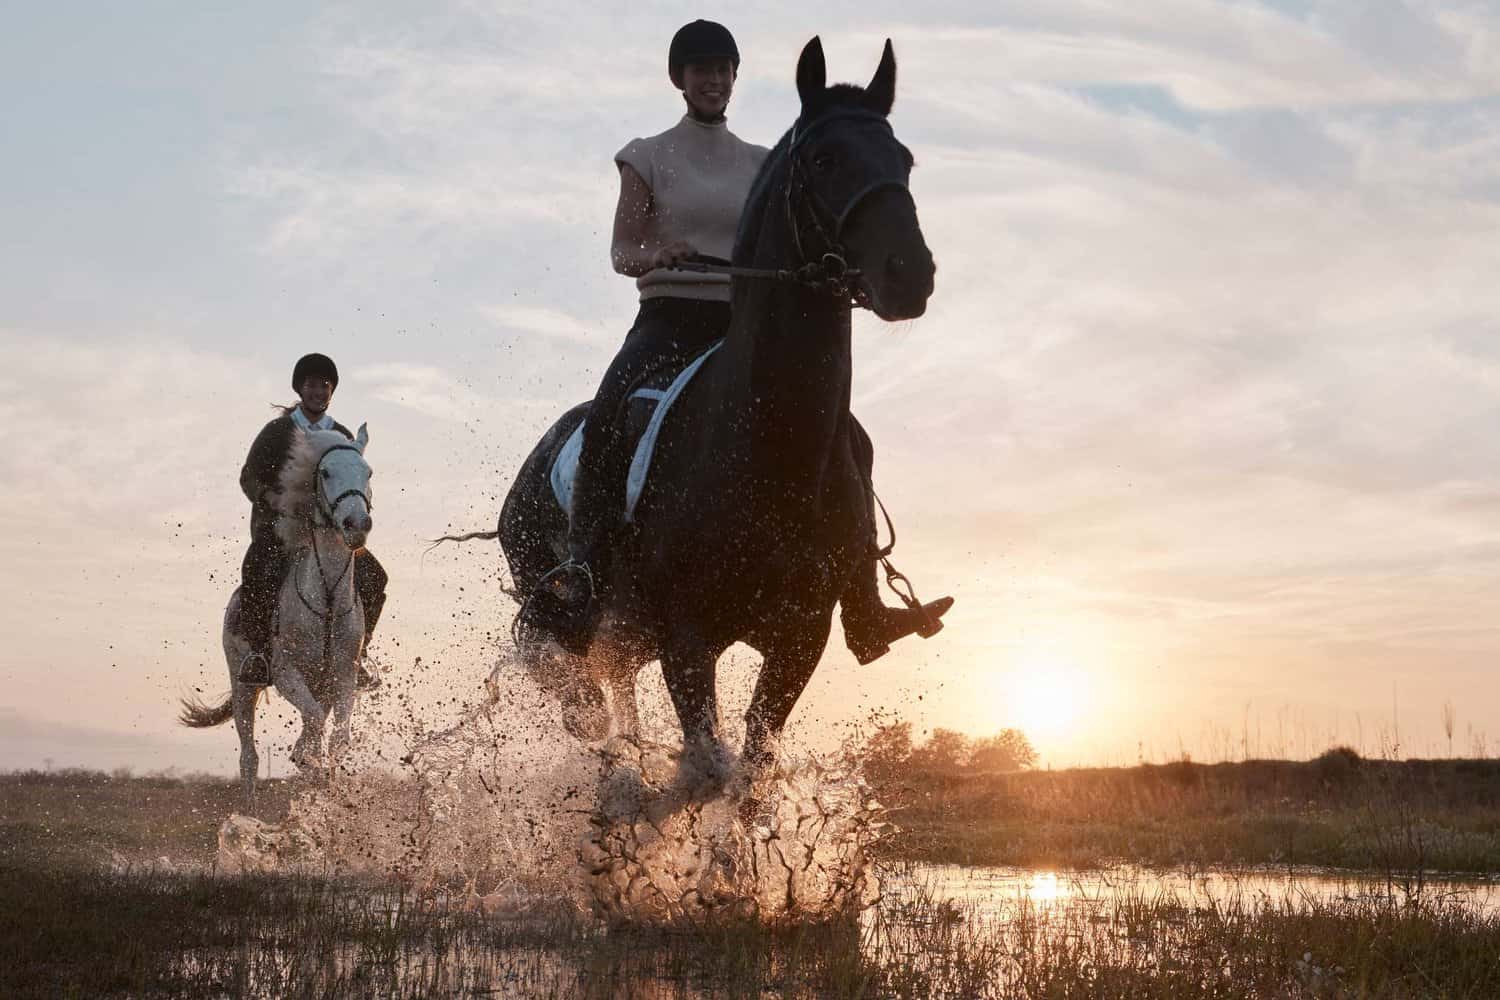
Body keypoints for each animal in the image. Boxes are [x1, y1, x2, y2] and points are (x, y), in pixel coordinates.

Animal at [180, 425, 375, 809]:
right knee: (249, 757)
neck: (327, 597)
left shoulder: (343, 677)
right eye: (325, 472)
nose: (357, 524)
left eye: (368, 472)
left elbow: (338, 737)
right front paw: (310, 766)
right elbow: (313, 723)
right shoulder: (286, 674)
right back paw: (251, 812)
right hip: (244, 685)